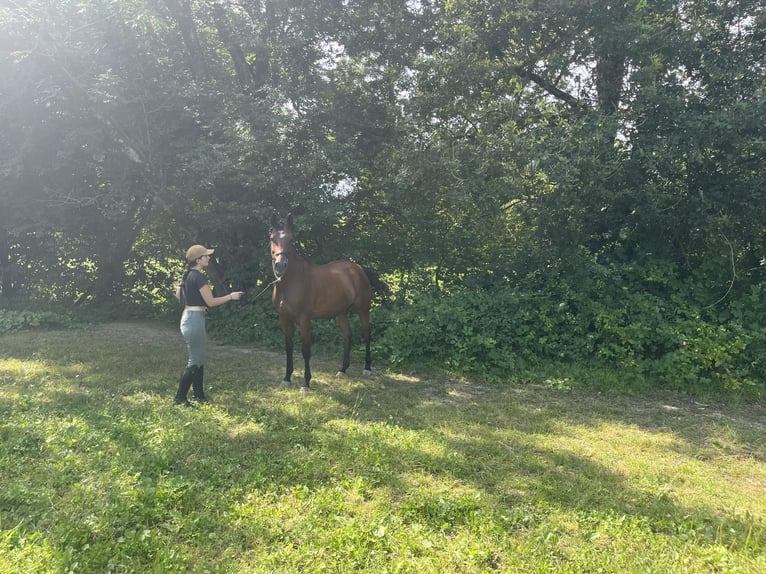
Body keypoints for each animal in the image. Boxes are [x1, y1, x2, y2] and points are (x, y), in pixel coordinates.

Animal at [270, 214, 376, 394]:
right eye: (272, 238)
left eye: (292, 239)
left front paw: (306, 383)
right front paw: (286, 379)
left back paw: (367, 369)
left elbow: (306, 351)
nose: (280, 266)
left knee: (366, 335)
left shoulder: (305, 321)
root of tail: (357, 267)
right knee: (347, 335)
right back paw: (342, 370)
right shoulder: (284, 320)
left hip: (363, 310)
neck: (291, 283)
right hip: (341, 313)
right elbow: (289, 349)